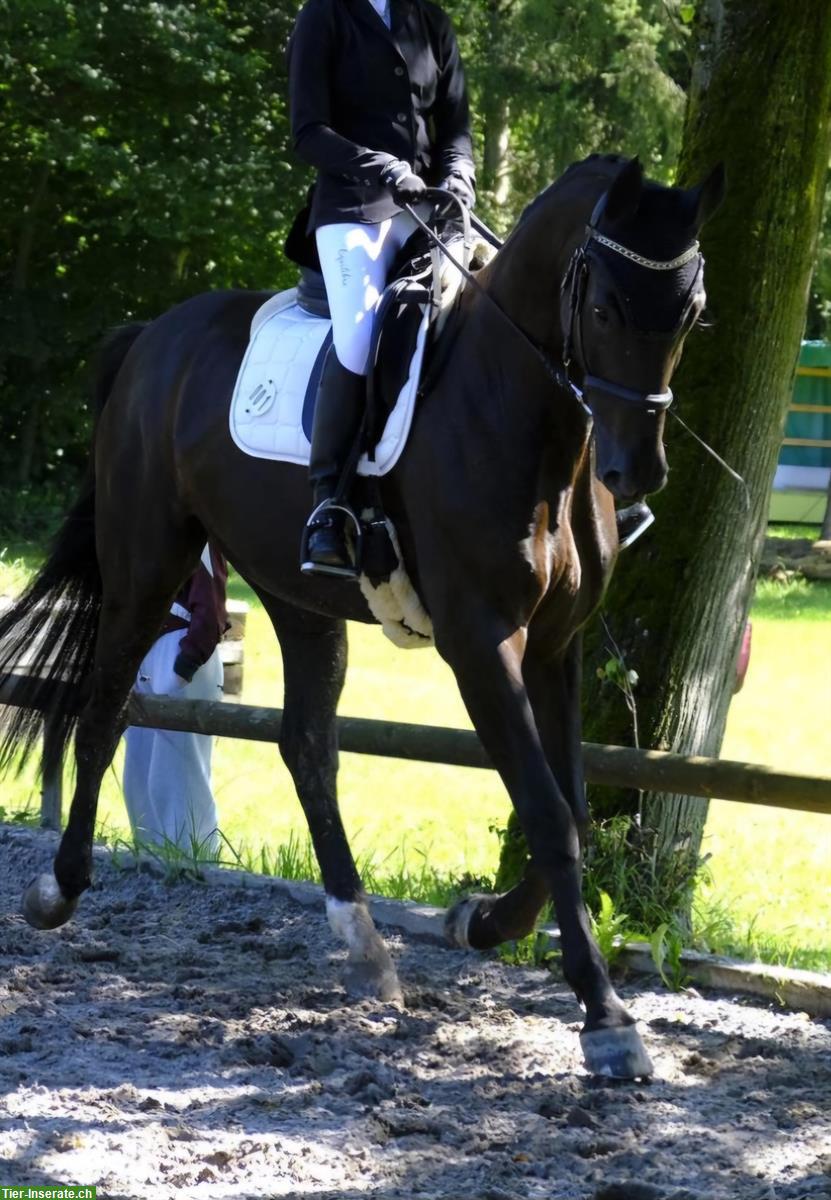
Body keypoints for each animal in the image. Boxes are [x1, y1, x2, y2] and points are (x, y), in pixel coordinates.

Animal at [0, 154, 720, 1084]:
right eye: (602, 309)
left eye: (690, 313)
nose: (637, 472)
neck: (518, 414)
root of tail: (153, 335)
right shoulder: (482, 642)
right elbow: (549, 814)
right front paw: (605, 1018)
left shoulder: (556, 648)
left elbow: (571, 813)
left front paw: (481, 921)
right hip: (145, 564)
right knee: (102, 710)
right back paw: (57, 889)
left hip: (298, 599)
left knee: (306, 745)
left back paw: (363, 941)